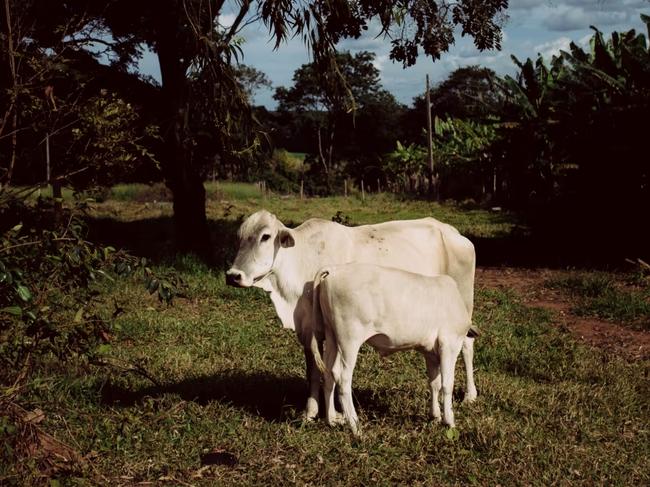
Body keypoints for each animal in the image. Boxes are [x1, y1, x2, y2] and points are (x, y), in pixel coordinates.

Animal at [310, 264, 470, 436]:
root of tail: (335, 269)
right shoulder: (450, 343)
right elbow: (447, 384)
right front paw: (449, 421)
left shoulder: (430, 352)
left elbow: (434, 384)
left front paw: (435, 416)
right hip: (349, 337)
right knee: (342, 377)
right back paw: (355, 427)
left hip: (331, 334)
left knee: (328, 374)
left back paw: (331, 420)